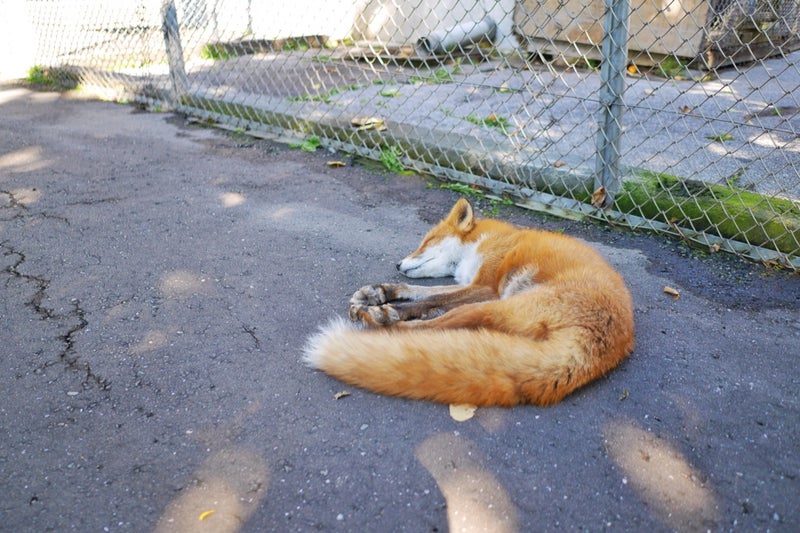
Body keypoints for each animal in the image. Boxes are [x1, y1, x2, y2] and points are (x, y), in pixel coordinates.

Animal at [304, 197, 636, 406]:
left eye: (425, 242)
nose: (398, 263)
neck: (485, 244)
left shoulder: (486, 287)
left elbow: (433, 298)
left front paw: (390, 307)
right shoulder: (469, 283)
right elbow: (419, 291)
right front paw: (379, 291)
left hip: (492, 304)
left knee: (437, 325)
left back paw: (384, 323)